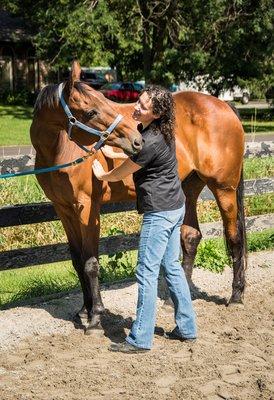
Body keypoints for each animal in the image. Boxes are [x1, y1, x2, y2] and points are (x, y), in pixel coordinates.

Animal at [30, 61, 246, 332]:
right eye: (91, 112)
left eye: (105, 100)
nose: (136, 141)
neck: (60, 151)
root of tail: (224, 106)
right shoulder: (64, 209)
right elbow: (78, 261)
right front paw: (83, 312)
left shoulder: (87, 208)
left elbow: (91, 263)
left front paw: (95, 318)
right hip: (188, 188)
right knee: (191, 237)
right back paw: (173, 301)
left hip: (224, 188)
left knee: (235, 237)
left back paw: (236, 296)